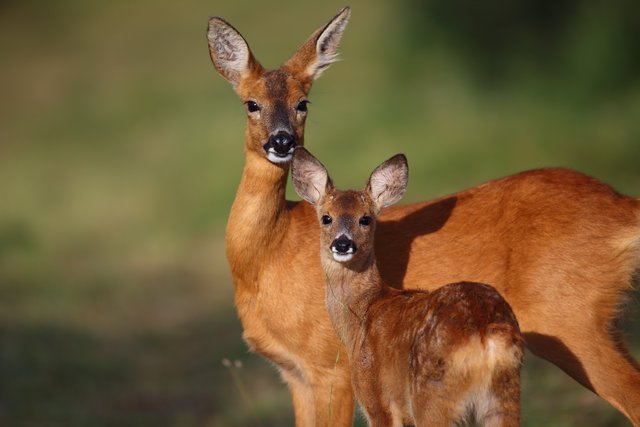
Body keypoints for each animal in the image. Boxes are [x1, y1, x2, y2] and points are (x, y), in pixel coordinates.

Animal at [292, 147, 524, 426]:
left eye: (365, 219)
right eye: (326, 217)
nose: (343, 243)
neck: (363, 314)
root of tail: (487, 334)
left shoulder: (375, 399)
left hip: (430, 395)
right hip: (504, 398)